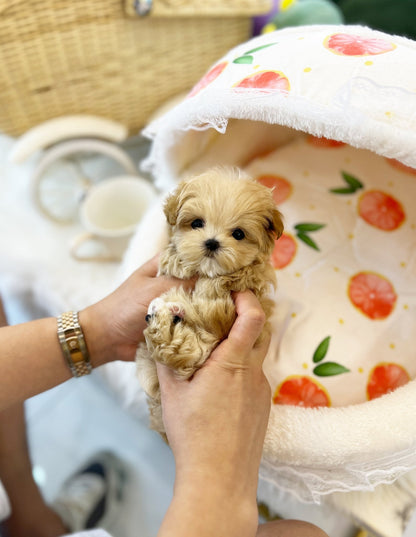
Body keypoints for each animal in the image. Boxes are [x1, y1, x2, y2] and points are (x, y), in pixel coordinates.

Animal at [136, 165, 282, 434]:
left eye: (238, 234)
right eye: (197, 223)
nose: (212, 243)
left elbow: (248, 276)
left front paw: (234, 277)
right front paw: (179, 263)